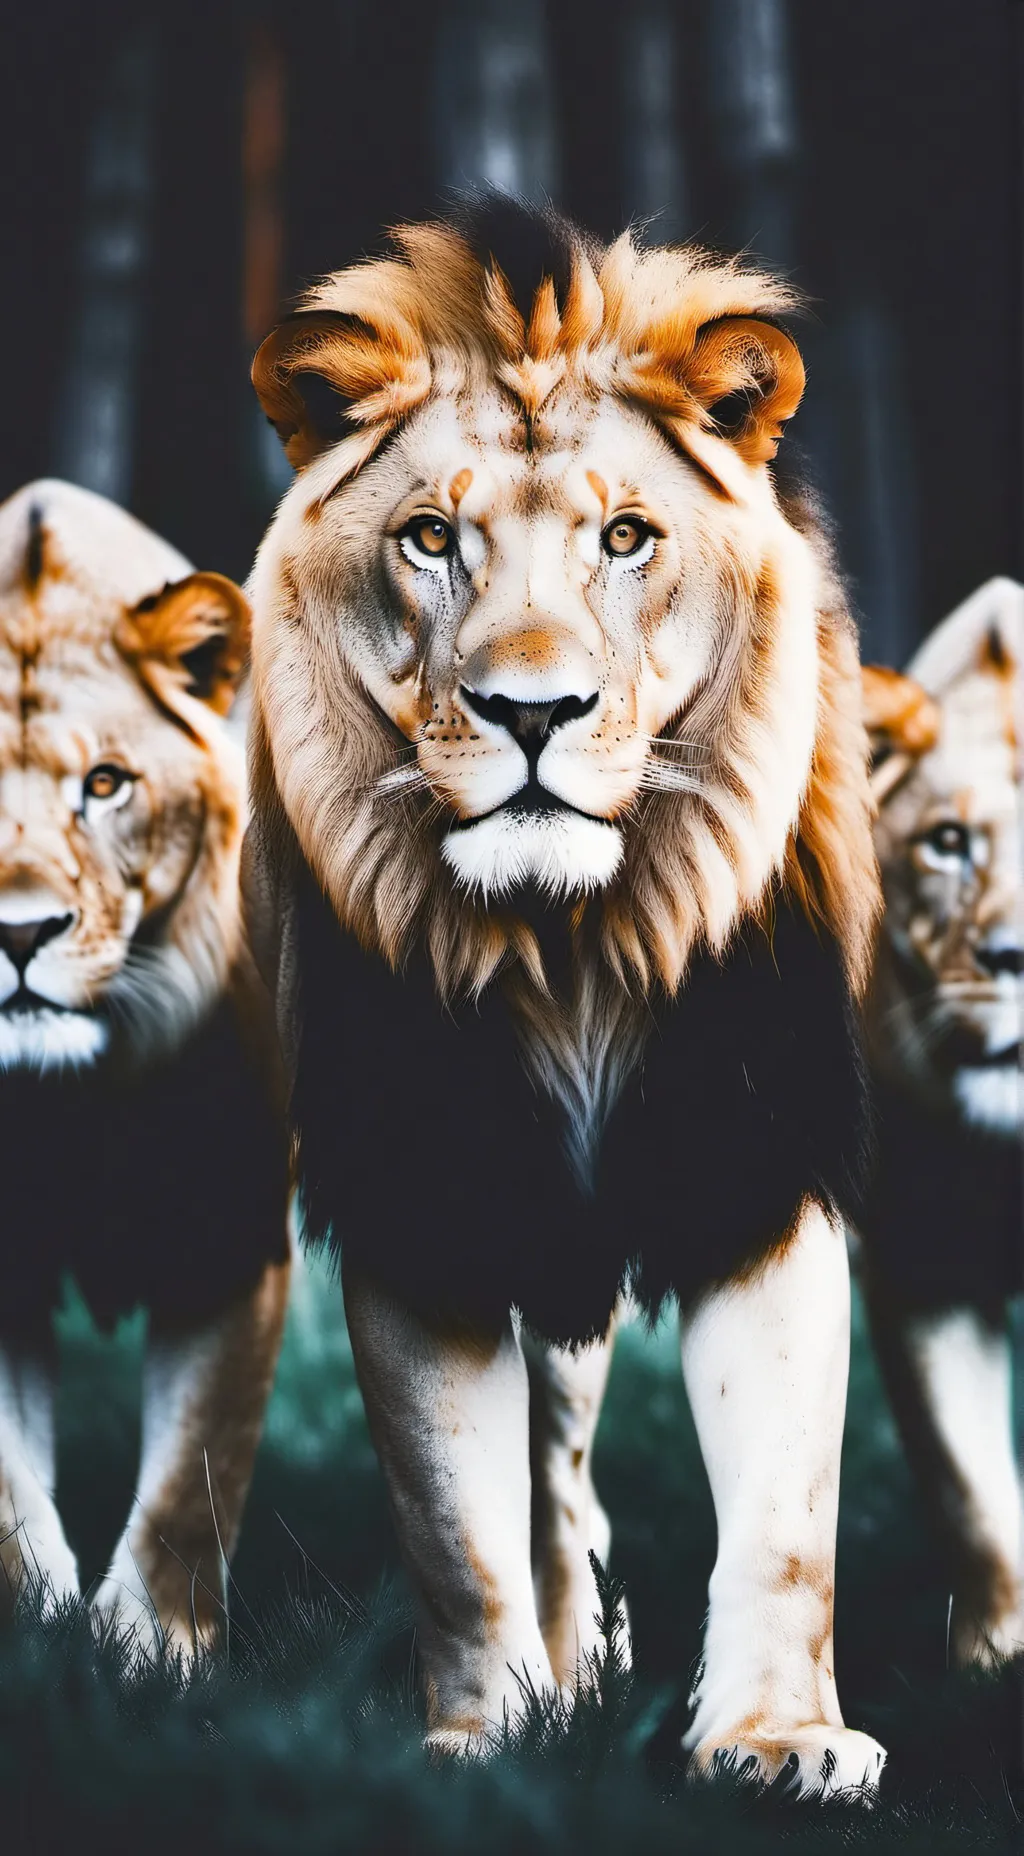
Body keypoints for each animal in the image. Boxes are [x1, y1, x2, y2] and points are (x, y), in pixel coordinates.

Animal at [245, 201, 886, 1797]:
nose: (532, 714)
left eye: (626, 538)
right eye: (431, 539)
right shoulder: (423, 1191)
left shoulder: (761, 1157)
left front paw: (779, 1741)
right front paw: (485, 1740)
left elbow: (786, 1518)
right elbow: (455, 1527)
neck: (570, 944)